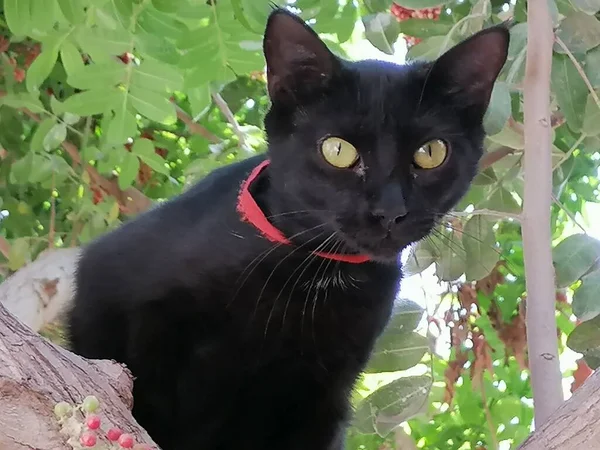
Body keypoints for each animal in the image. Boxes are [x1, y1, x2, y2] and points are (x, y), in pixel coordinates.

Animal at [65, 9, 508, 450]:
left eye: (430, 153)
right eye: (337, 150)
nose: (389, 211)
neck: (317, 273)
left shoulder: (321, 393)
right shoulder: (129, 300)